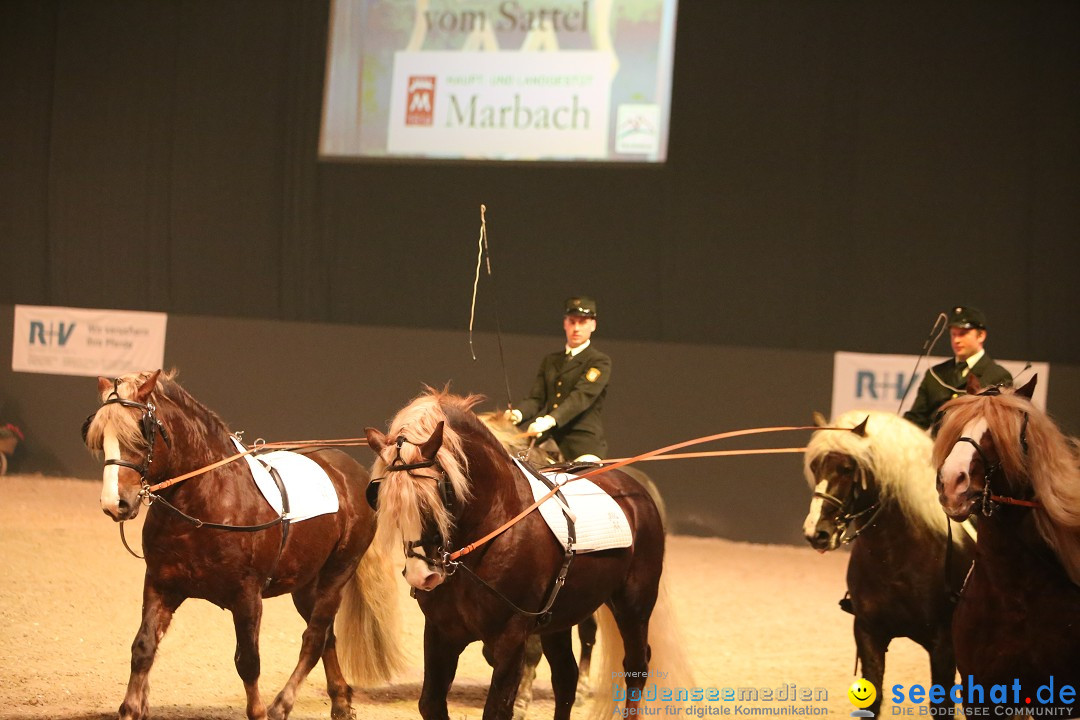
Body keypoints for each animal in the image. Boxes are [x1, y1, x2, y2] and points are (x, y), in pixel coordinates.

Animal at [79, 371, 401, 720]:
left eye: (141, 433)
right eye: (100, 436)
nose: (115, 503)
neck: (207, 503)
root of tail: (353, 472)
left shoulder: (247, 597)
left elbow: (248, 662)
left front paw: (259, 711)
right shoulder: (161, 585)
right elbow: (143, 647)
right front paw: (131, 708)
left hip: (337, 575)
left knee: (314, 638)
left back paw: (282, 705)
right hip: (305, 585)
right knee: (327, 636)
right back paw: (340, 702)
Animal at [362, 390, 682, 720]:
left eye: (441, 492)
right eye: (380, 496)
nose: (421, 576)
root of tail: (635, 488)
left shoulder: (511, 637)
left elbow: (499, 706)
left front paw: (522, 700)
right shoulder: (442, 633)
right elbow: (431, 703)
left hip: (634, 604)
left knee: (635, 666)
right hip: (560, 618)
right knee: (565, 677)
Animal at [807, 410, 976, 716]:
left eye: (847, 468)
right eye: (815, 466)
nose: (817, 533)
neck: (894, 559)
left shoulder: (943, 645)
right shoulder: (868, 633)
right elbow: (871, 700)